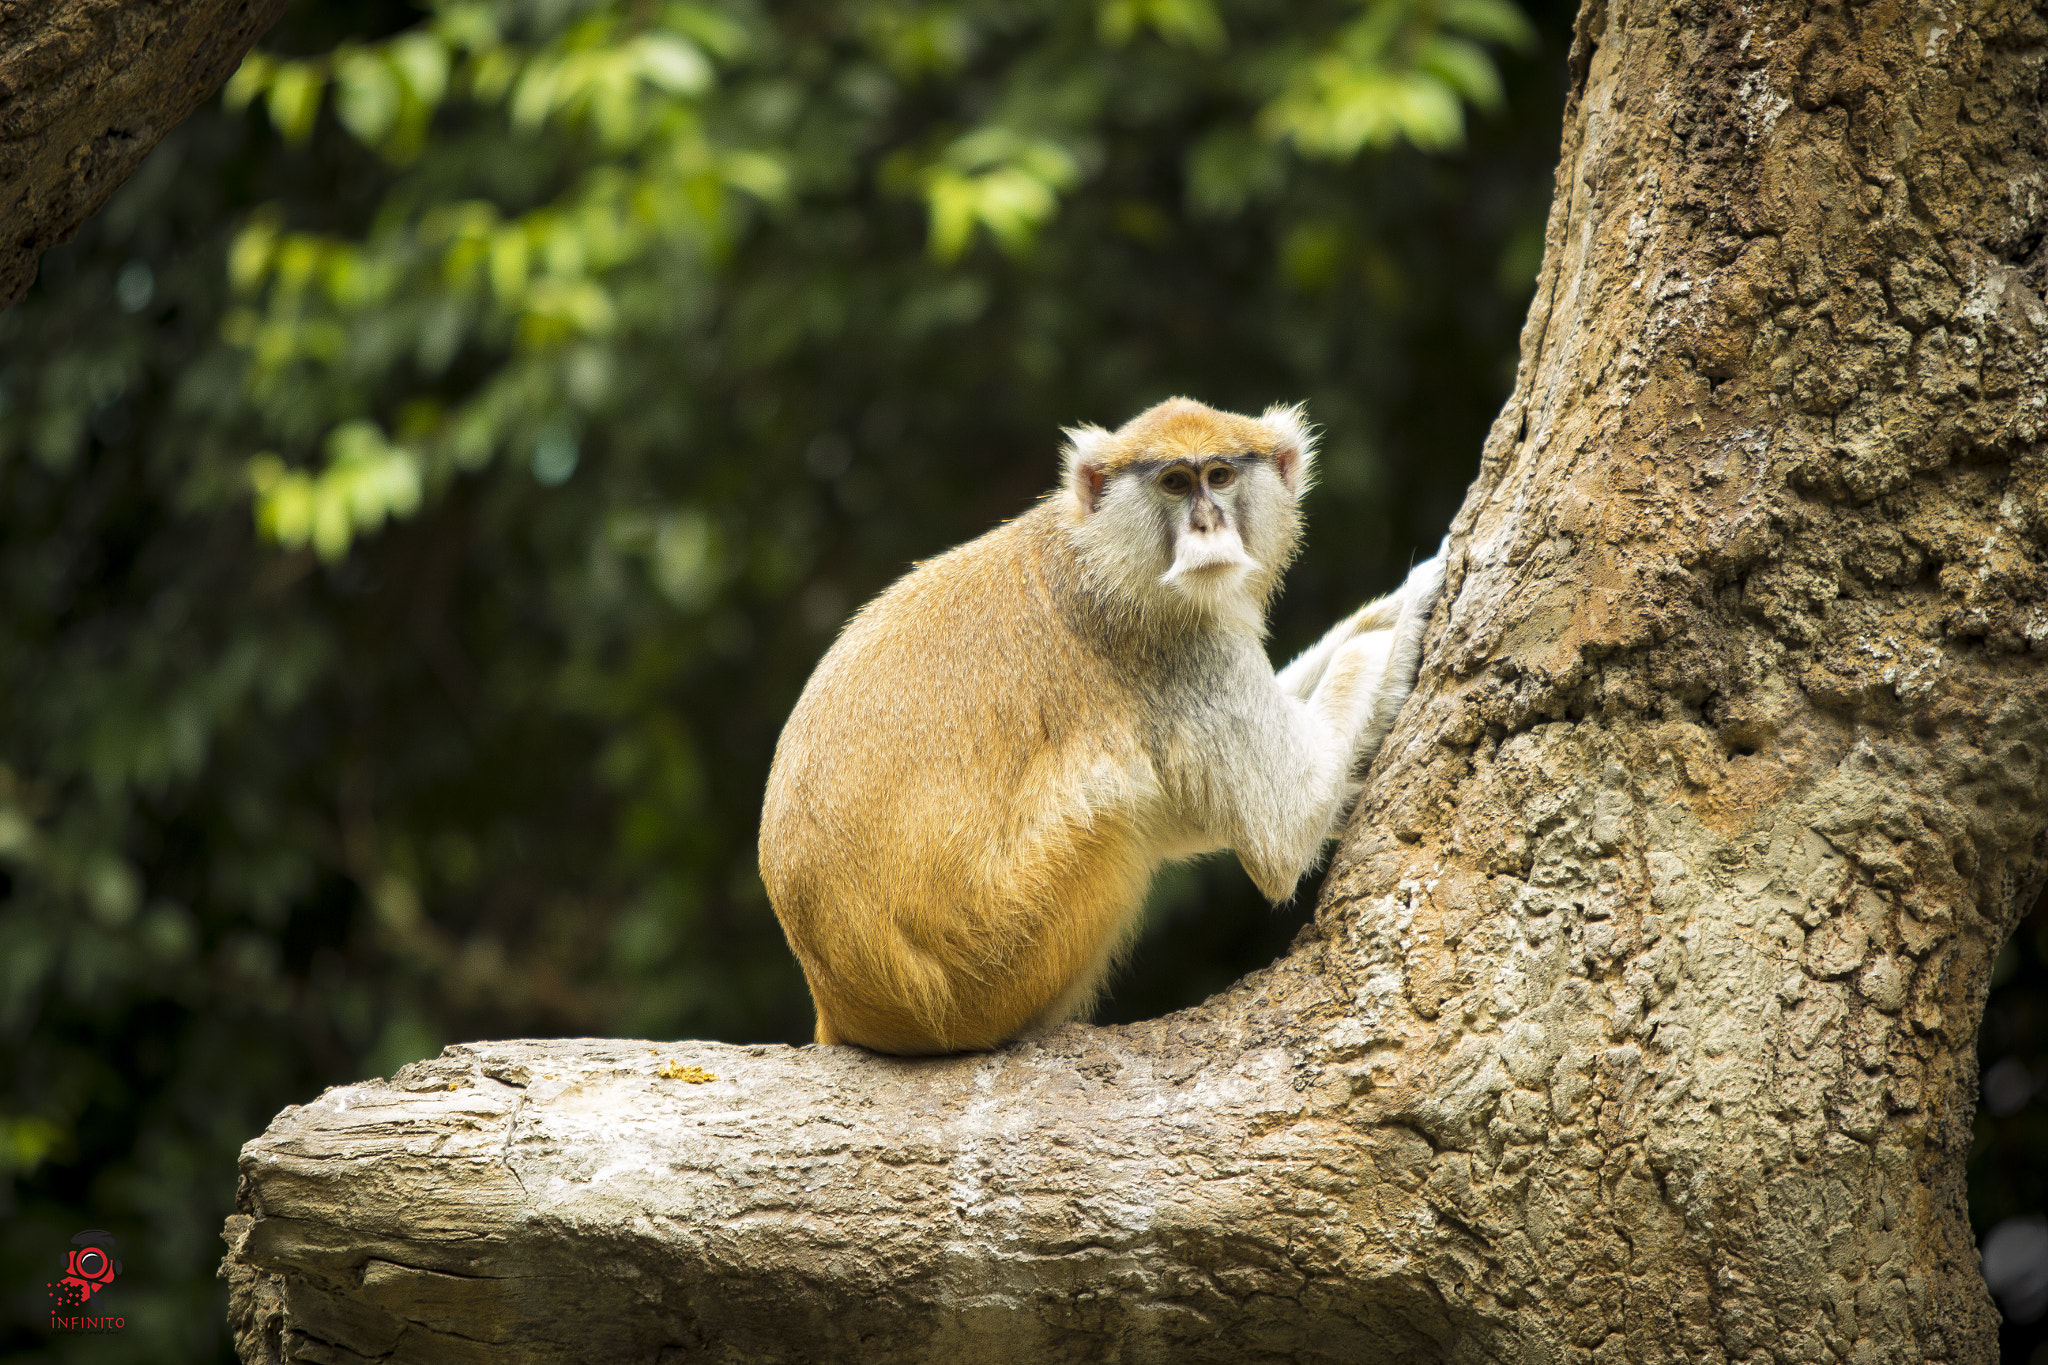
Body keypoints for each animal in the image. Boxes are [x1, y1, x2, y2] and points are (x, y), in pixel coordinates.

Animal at [759, 397, 1445, 1055]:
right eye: (1174, 482)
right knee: (1114, 808)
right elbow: (1283, 831)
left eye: (1220, 476)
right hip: (986, 968)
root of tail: (843, 1003)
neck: (1100, 551)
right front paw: (1414, 602)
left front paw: (1386, 609)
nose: (1207, 524)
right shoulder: (1176, 644)